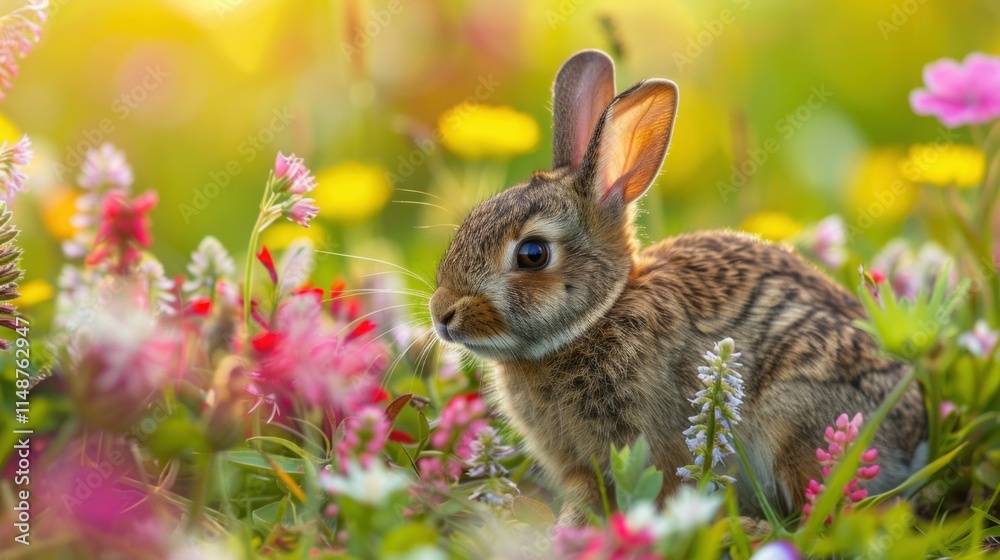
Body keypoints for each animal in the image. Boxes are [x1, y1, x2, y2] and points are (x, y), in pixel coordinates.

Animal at [428, 49, 925, 526]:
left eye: (532, 254)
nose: (442, 313)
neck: (598, 316)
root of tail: (910, 434)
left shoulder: (657, 444)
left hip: (794, 418)